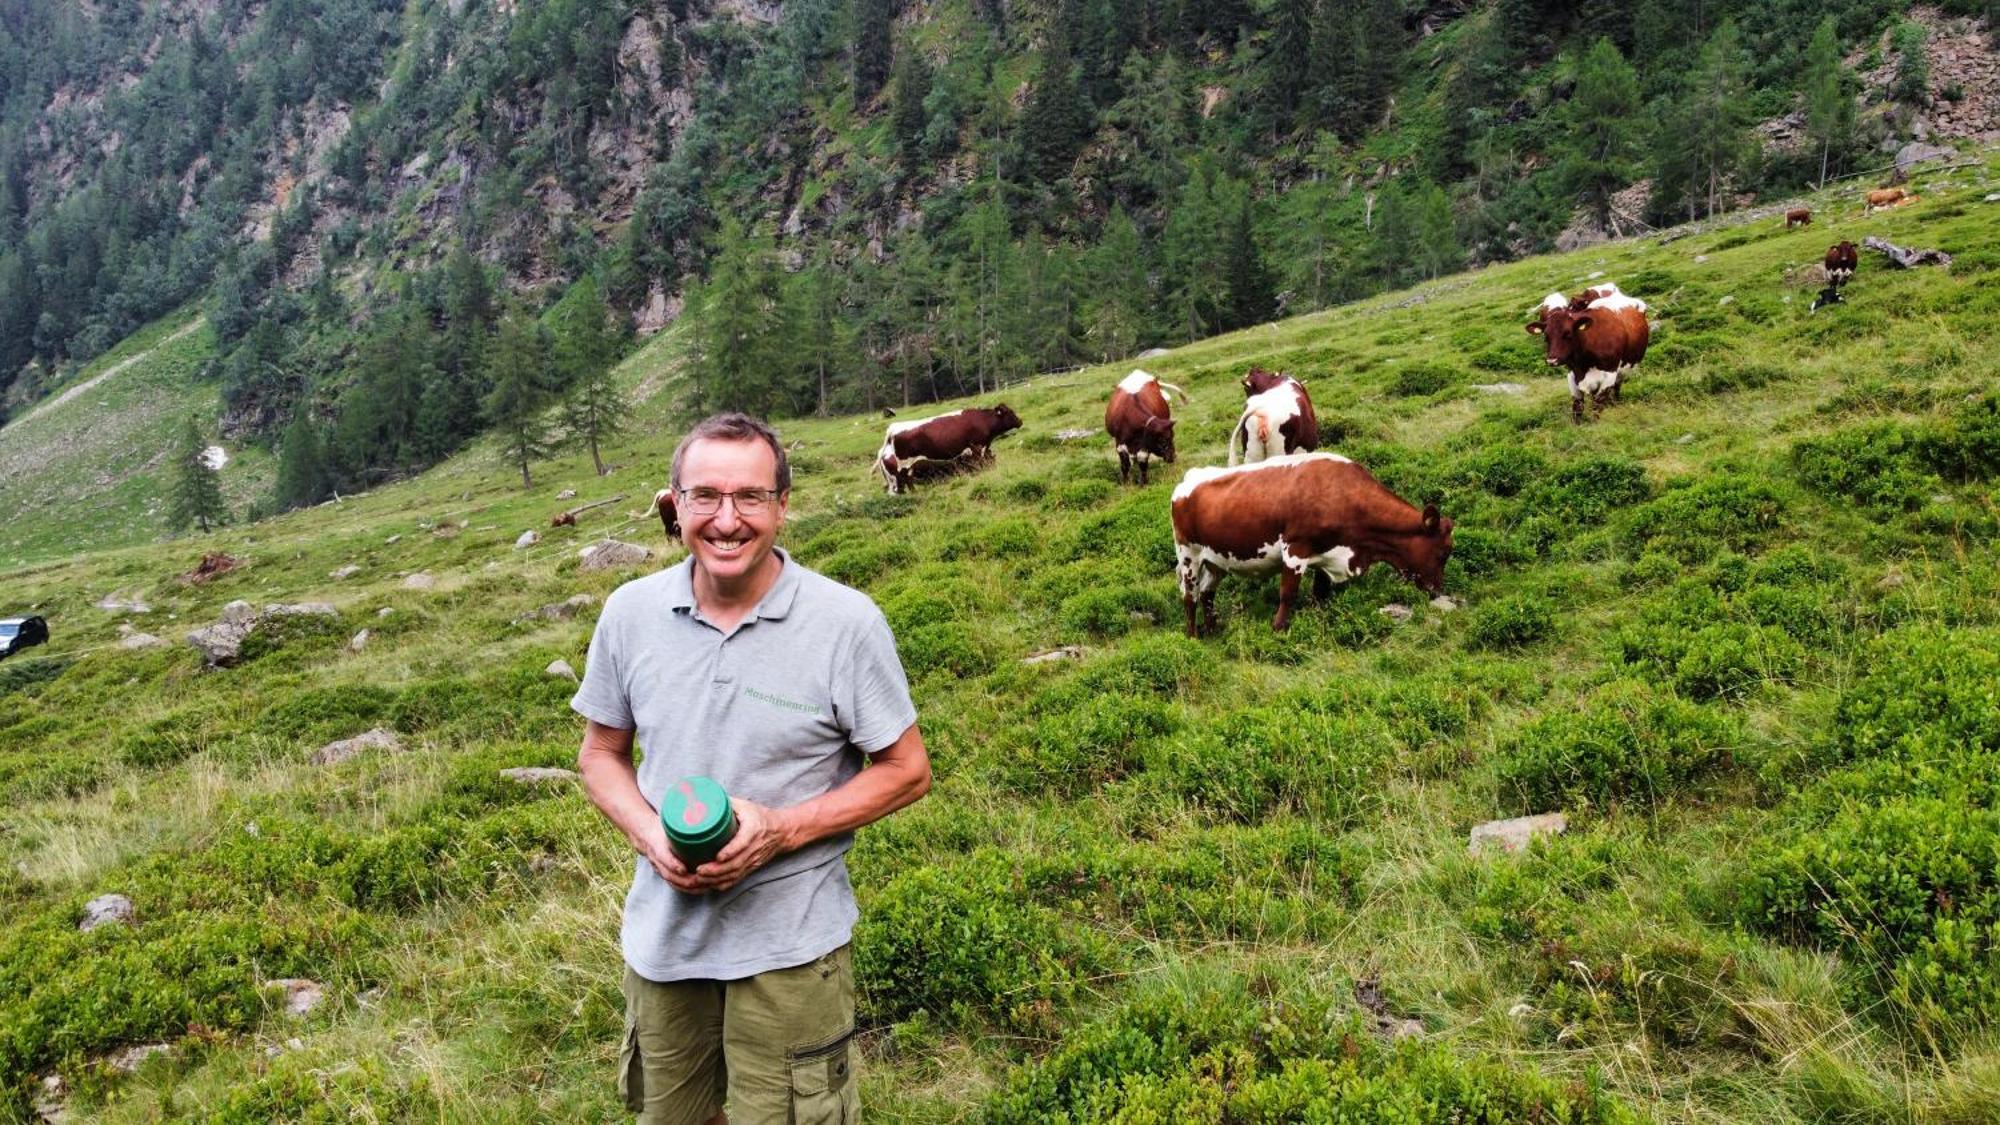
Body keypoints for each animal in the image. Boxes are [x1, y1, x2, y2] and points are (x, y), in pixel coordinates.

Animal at [876, 402, 1024, 490]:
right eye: (1010, 412)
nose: (1020, 421)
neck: (982, 420)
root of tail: (894, 427)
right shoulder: (977, 447)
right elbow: (980, 464)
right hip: (904, 463)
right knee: (906, 479)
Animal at [1168, 450, 1456, 636]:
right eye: (1443, 553)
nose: (1438, 591)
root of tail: (1191, 477)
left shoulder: (1327, 556)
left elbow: (1320, 595)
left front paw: (1319, 622)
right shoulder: (1295, 550)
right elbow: (1288, 594)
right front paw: (1278, 630)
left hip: (1216, 560)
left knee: (1207, 593)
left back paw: (1212, 629)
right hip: (1188, 555)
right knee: (1190, 596)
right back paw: (1193, 636)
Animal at [1520, 282, 1648, 418]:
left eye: (1568, 334)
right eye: (1546, 337)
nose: (1552, 360)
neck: (1583, 363)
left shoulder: (1609, 375)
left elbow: (1597, 408)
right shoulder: (1572, 376)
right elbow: (1577, 409)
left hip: (1623, 371)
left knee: (1617, 387)